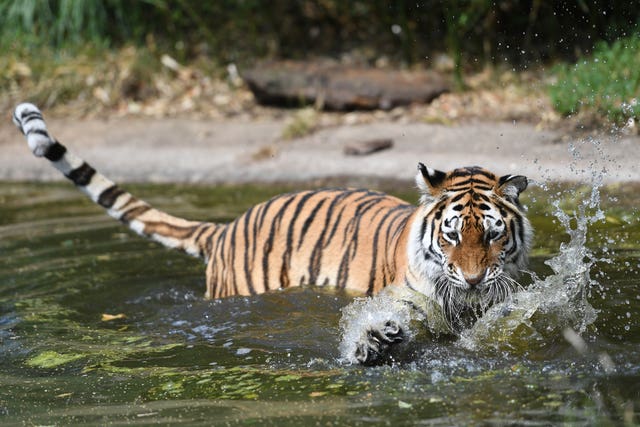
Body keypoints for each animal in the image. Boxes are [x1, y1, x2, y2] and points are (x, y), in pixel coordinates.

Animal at [13, 103, 528, 364]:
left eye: (493, 235)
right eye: (451, 236)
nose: (473, 280)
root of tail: (224, 229)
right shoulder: (409, 297)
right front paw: (374, 341)